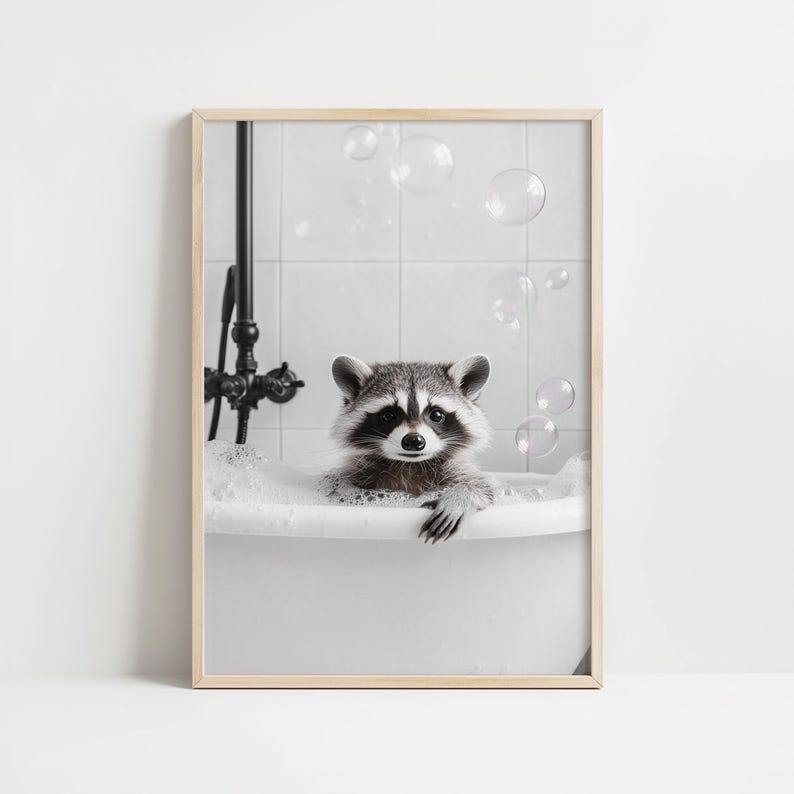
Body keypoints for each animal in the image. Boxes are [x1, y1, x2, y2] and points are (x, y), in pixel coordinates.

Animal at [327, 353, 496, 542]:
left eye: (436, 415)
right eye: (388, 415)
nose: (414, 441)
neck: (408, 464)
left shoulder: (454, 469)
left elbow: (483, 488)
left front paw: (461, 495)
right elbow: (340, 490)